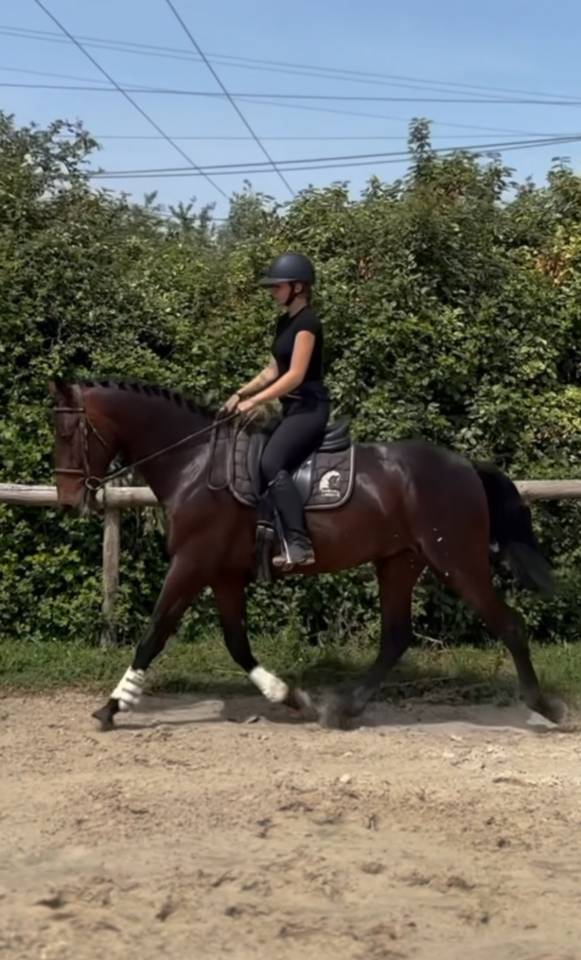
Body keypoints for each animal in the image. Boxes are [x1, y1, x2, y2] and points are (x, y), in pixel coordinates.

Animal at [48, 378, 564, 731]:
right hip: (400, 562)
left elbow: (153, 635)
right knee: (396, 637)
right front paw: (291, 697)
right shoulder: (223, 575)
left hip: (457, 562)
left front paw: (112, 707)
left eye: (68, 433)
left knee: (509, 625)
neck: (193, 464)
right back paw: (343, 708)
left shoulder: (191, 565)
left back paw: (546, 707)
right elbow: (237, 644)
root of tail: (464, 466)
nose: (69, 500)